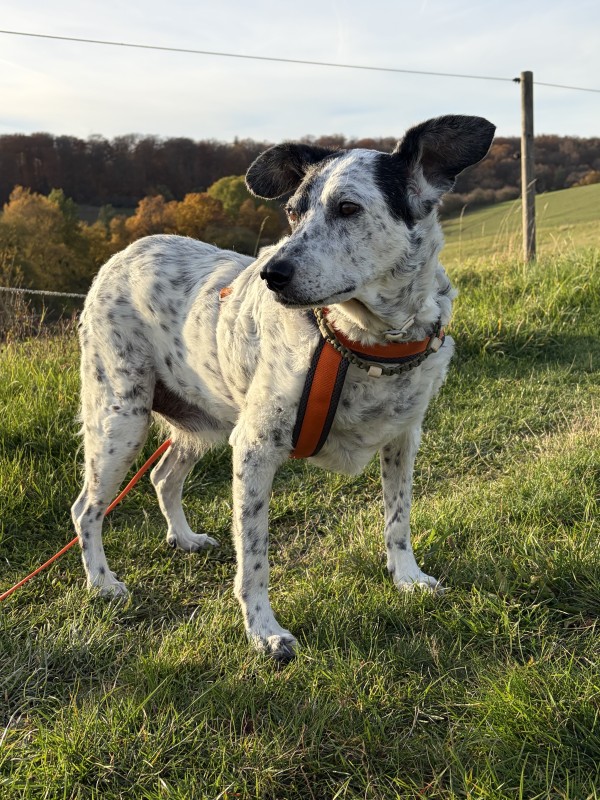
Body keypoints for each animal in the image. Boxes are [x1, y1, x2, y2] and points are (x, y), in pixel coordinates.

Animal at [72, 114, 495, 659]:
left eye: (348, 208)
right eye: (293, 213)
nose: (270, 274)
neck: (361, 343)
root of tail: (122, 253)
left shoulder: (403, 437)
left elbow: (398, 517)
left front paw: (407, 577)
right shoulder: (254, 449)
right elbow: (254, 559)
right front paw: (263, 631)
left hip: (201, 424)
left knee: (163, 476)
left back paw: (184, 539)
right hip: (120, 419)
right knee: (87, 509)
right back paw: (102, 583)